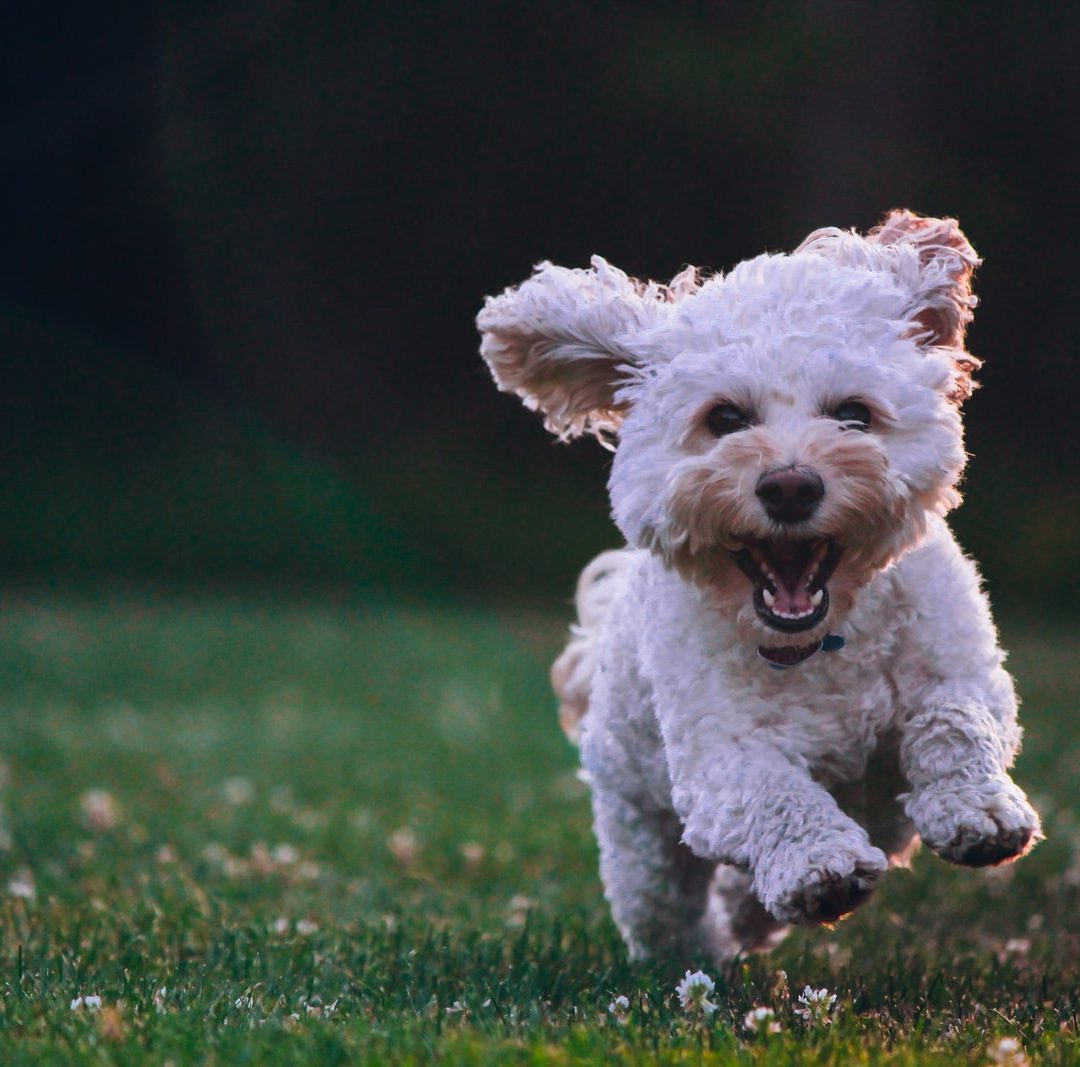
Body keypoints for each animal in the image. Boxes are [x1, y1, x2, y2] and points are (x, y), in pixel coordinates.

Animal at [477, 212, 1041, 963]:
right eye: (725, 419)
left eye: (853, 414)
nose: (791, 486)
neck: (823, 642)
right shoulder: (719, 757)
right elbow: (773, 792)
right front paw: (818, 866)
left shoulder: (961, 668)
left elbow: (955, 720)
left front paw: (978, 810)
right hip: (639, 829)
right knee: (663, 904)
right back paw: (702, 952)